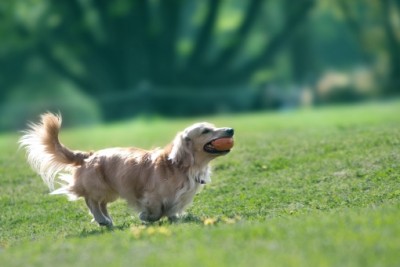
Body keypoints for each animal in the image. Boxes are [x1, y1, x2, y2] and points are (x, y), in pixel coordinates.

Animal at [20, 113, 234, 226]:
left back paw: (106, 219)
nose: (231, 130)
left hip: (110, 191)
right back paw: (102, 220)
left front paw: (175, 218)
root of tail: (89, 156)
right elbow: (156, 211)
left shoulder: (179, 198)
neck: (179, 166)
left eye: (213, 126)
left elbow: (172, 210)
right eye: (206, 131)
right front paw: (145, 217)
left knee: (101, 204)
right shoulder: (151, 196)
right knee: (91, 201)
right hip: (99, 188)